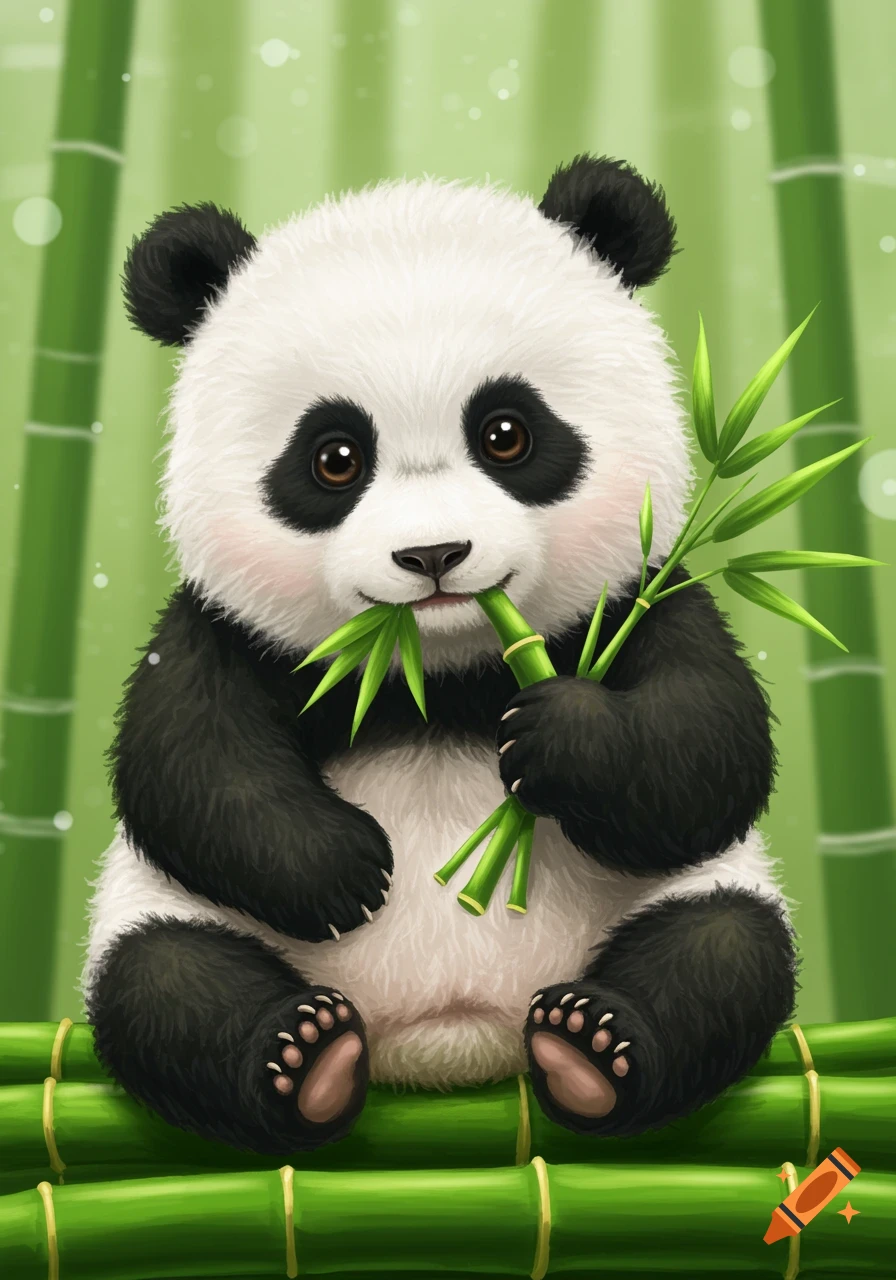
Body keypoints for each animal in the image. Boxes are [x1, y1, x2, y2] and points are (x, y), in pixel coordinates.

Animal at [82, 154, 797, 1157]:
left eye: (506, 433)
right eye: (334, 457)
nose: (433, 555)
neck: (438, 673)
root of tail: (446, 1041)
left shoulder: (644, 597)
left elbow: (706, 751)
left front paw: (561, 737)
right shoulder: (223, 628)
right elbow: (188, 761)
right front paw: (345, 868)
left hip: (681, 901)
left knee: (725, 946)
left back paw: (589, 1046)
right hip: (160, 915)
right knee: (162, 981)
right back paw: (308, 1057)